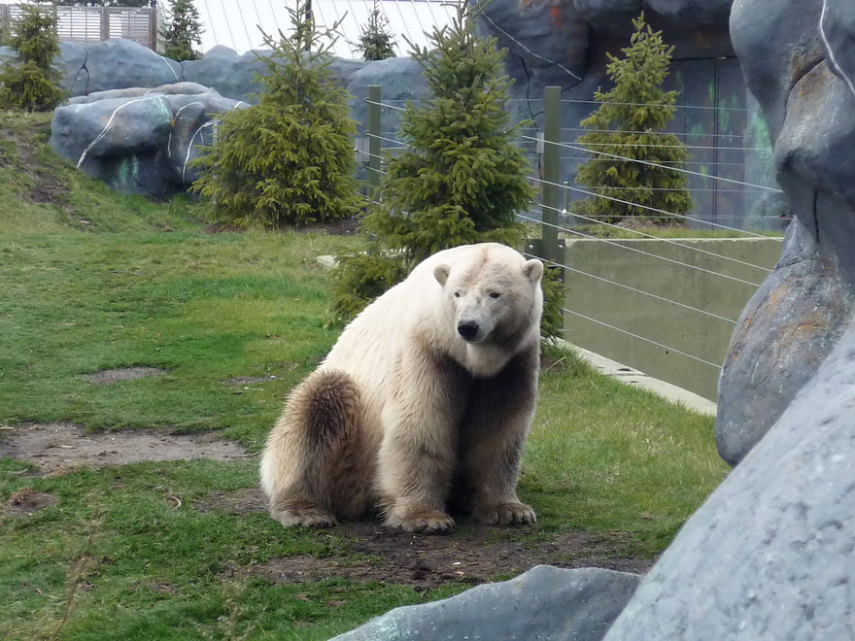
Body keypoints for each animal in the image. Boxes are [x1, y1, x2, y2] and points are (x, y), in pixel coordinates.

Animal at [258, 242, 544, 532]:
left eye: (494, 294)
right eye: (457, 293)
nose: (468, 327)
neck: (467, 357)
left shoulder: (511, 366)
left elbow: (498, 430)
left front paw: (509, 510)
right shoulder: (426, 350)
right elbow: (421, 420)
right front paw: (424, 517)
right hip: (351, 447)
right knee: (320, 404)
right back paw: (304, 510)